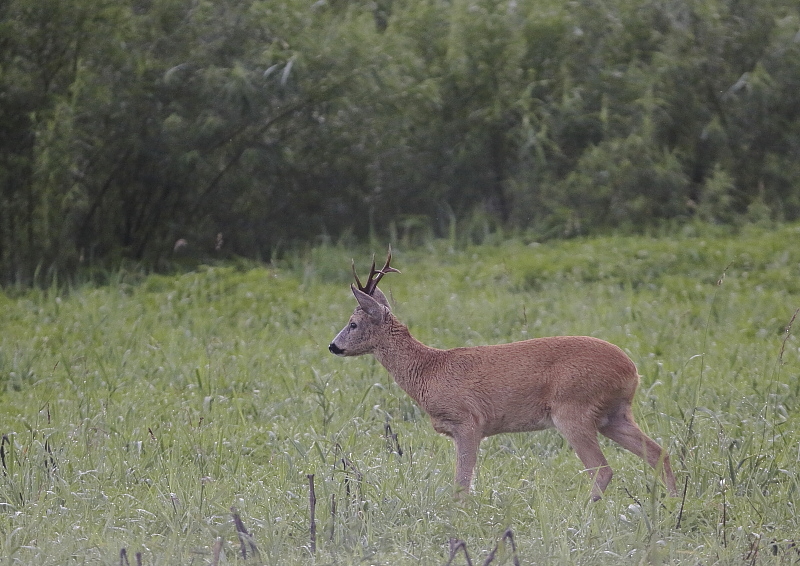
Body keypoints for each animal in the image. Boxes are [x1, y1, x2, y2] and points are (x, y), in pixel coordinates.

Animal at [328, 248, 680, 502]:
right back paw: (674, 502)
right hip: (614, 415)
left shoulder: (468, 422)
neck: (428, 371)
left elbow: (462, 483)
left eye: (353, 323)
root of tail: (632, 370)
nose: (333, 346)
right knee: (659, 452)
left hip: (573, 409)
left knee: (603, 470)